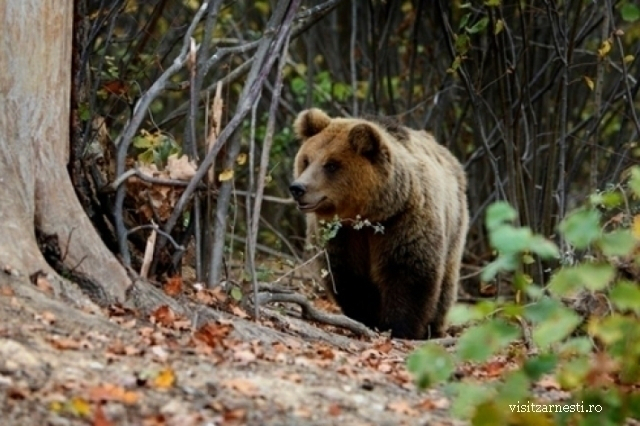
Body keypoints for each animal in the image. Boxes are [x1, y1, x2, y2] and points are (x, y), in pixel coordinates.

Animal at [292, 109, 470, 340]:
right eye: (306, 160)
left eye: (331, 164)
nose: (298, 188)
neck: (369, 214)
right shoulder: (342, 235)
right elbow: (348, 277)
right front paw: (367, 319)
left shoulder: (403, 222)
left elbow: (408, 274)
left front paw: (400, 328)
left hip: (455, 225)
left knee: (446, 285)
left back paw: (434, 328)